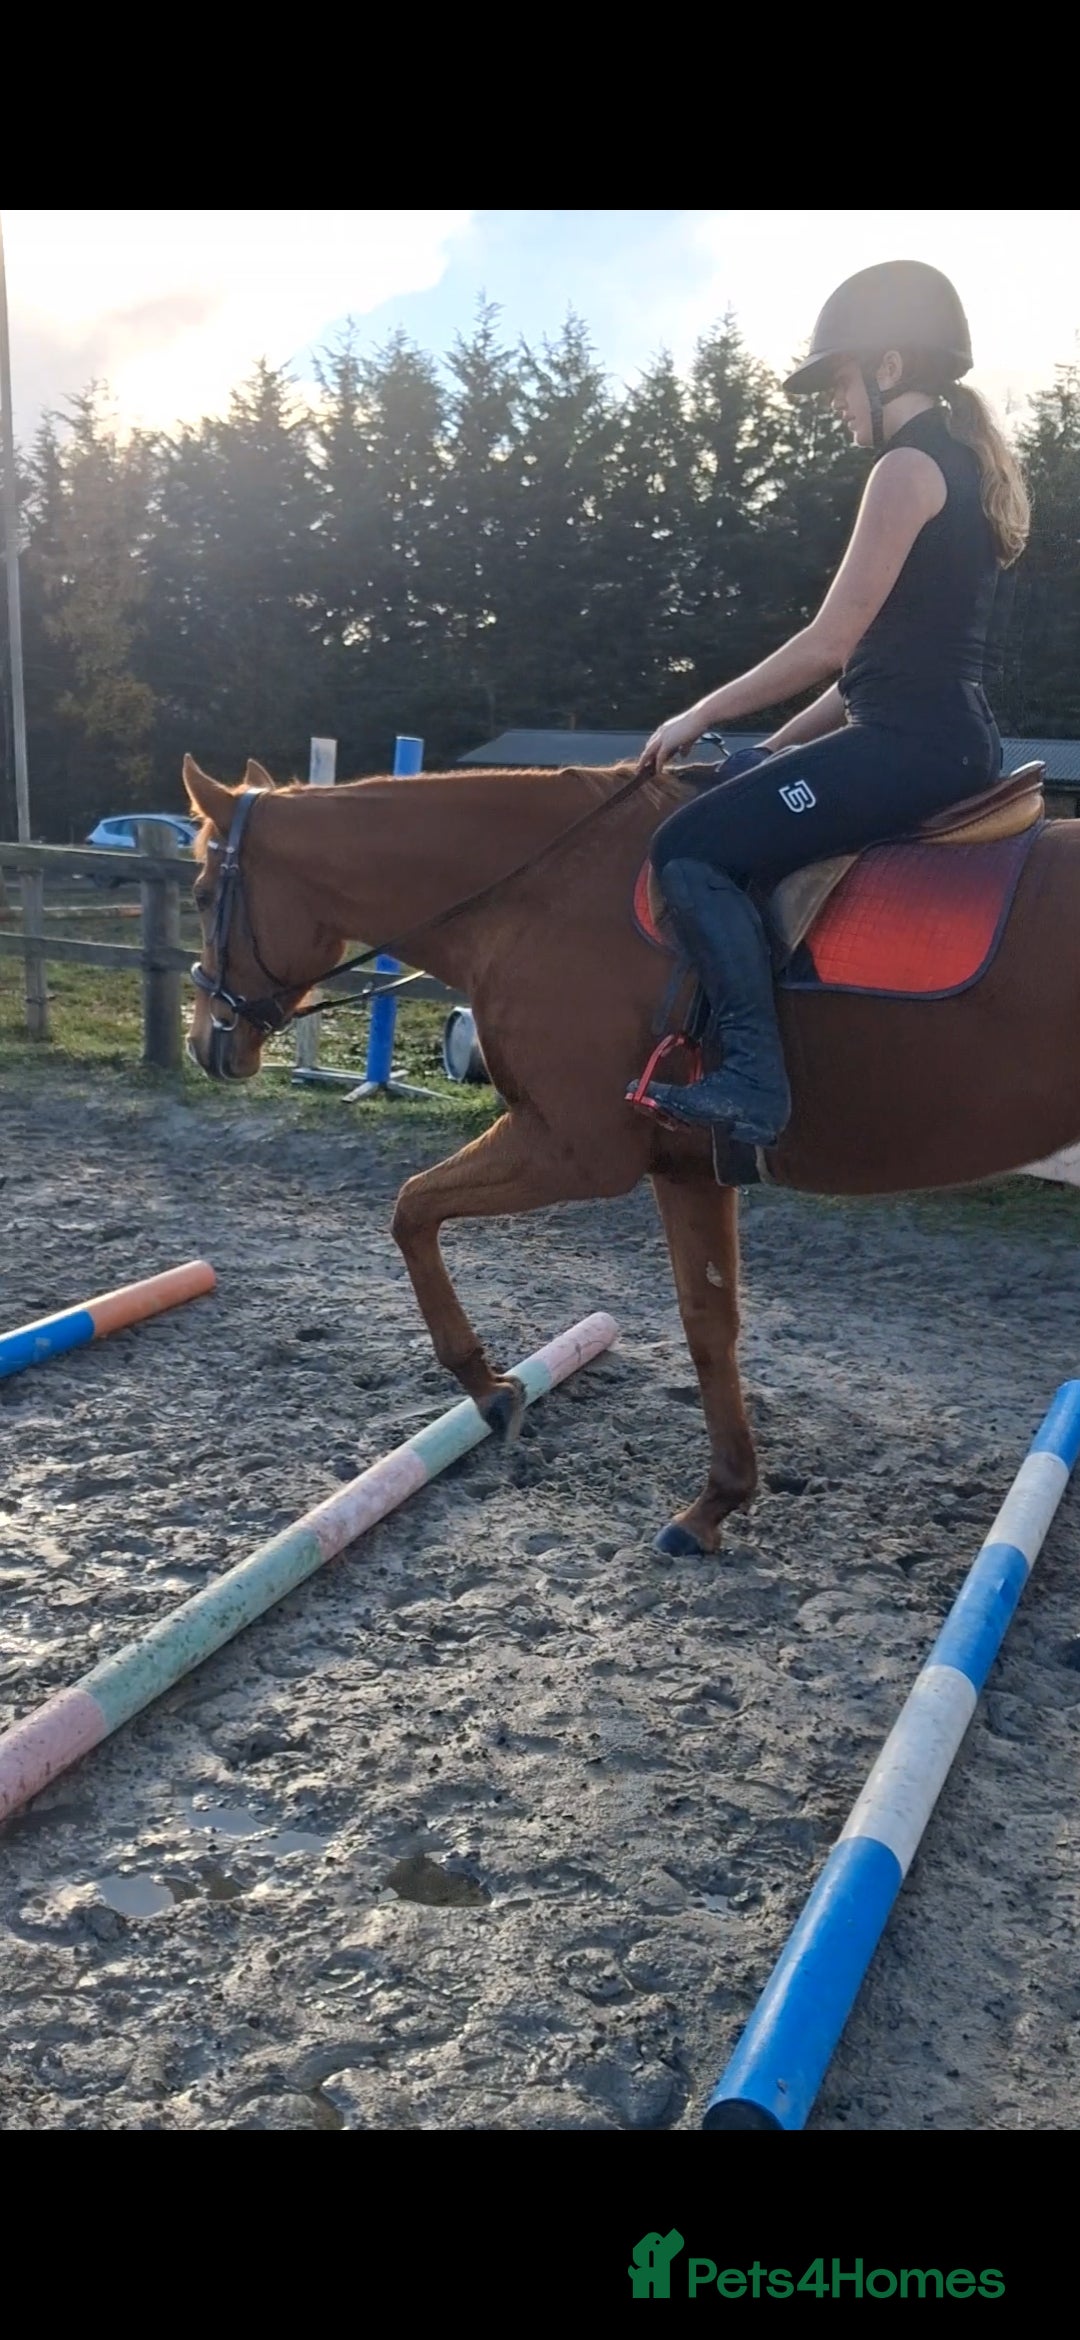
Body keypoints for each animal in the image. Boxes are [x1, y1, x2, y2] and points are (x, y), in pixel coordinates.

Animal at [182, 750, 1080, 1556]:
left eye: (200, 895)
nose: (206, 1045)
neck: (535, 896)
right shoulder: (685, 1168)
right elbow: (708, 1324)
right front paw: (717, 1502)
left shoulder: (573, 1148)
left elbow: (411, 1210)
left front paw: (489, 1390)